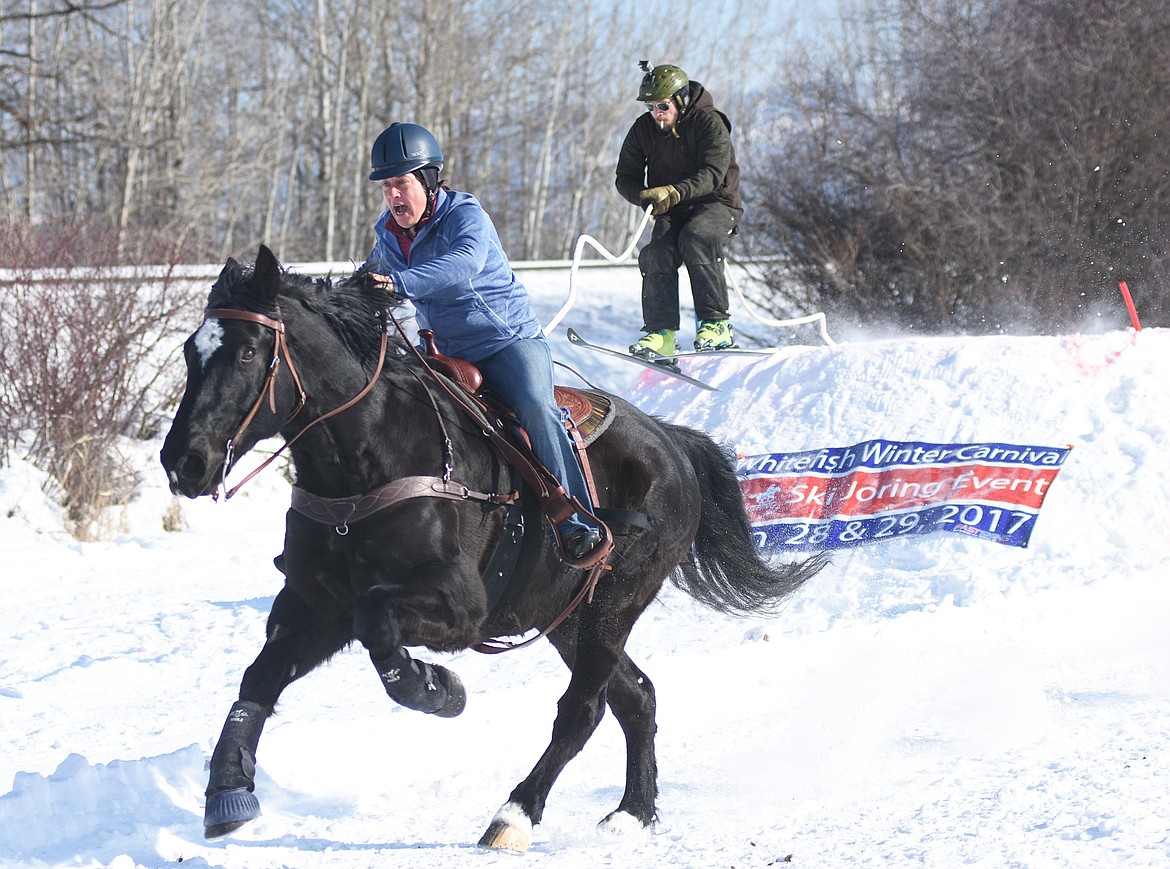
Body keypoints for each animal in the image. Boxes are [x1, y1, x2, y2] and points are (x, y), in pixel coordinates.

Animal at [162, 243, 823, 851]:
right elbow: (259, 679)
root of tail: (673, 442)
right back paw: (633, 811)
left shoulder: (458, 607)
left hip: (616, 601)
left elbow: (378, 624)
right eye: (193, 351)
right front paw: (227, 790)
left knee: (581, 711)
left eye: (248, 351)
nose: (183, 461)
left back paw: (515, 814)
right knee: (636, 697)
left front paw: (439, 689)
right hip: (568, 616)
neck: (369, 459)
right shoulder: (313, 605)